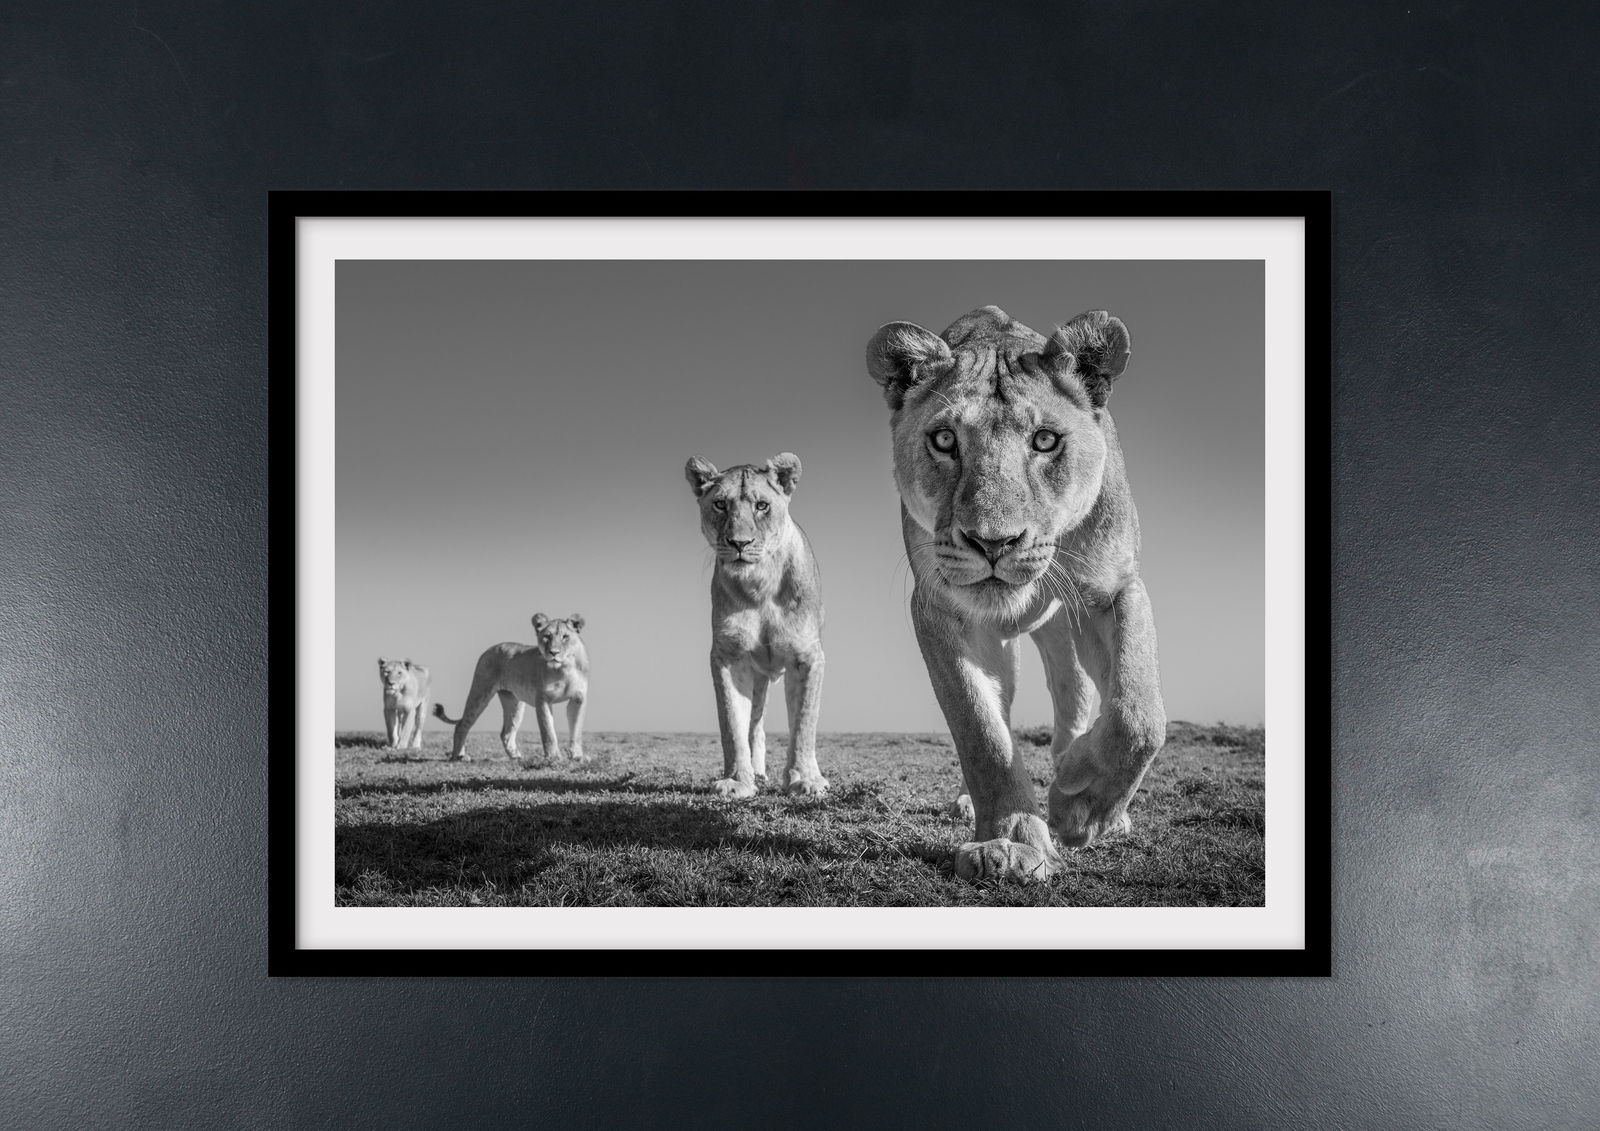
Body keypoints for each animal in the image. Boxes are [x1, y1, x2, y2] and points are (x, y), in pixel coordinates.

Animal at [432, 613, 589, 762]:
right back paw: (459, 756)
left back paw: (517, 757)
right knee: (462, 725)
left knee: (506, 733)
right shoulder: (543, 699)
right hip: (480, 691)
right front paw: (553, 757)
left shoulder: (578, 699)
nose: (553, 652)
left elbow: (577, 730)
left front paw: (577, 756)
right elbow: (548, 731)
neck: (564, 668)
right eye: (547, 636)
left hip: (514, 702)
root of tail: (490, 649)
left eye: (565, 637)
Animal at [684, 452, 828, 799]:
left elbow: (804, 721)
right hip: (760, 676)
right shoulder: (729, 656)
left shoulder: (807, 657)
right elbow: (732, 724)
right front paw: (738, 781)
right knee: (755, 726)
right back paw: (758, 773)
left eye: (762, 505)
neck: (759, 585)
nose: (739, 542)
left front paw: (805, 779)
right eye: (720, 504)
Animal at [865, 306, 1167, 883]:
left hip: (1066, 634)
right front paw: (1009, 841)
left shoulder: (1115, 589)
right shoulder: (939, 609)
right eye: (944, 440)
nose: (992, 542)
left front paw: (1079, 804)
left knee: (1079, 696)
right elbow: (981, 729)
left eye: (1045, 441)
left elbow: (1139, 713)